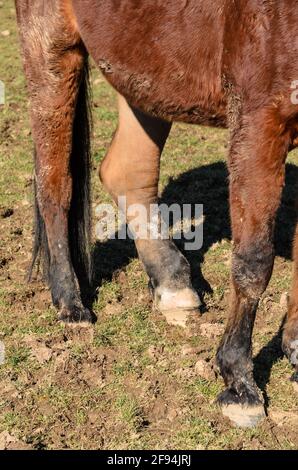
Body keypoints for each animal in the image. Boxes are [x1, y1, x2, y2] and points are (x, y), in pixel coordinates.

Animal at [15, 0, 298, 428]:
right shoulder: (259, 119)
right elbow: (254, 261)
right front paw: (239, 384)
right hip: (51, 48)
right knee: (54, 184)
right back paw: (71, 305)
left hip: (144, 68)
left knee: (127, 171)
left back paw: (172, 283)